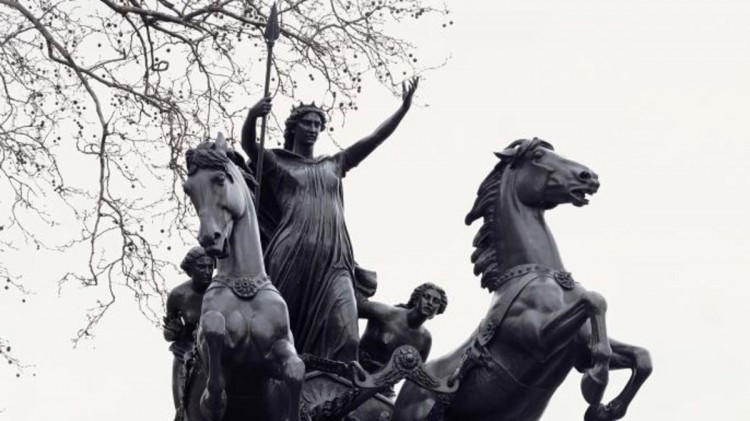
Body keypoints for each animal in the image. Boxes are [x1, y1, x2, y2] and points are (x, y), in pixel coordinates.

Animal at [184, 135, 304, 420]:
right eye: (187, 189)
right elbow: (214, 326)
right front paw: (215, 399)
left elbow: (297, 369)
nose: (209, 239)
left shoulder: (278, 349)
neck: (244, 283)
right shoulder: (209, 340)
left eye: (219, 178)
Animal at [394, 139, 652, 420]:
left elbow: (642, 358)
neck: (540, 275)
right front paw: (594, 382)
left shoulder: (580, 346)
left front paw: (606, 409)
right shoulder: (538, 339)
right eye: (538, 155)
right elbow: (595, 300)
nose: (589, 177)